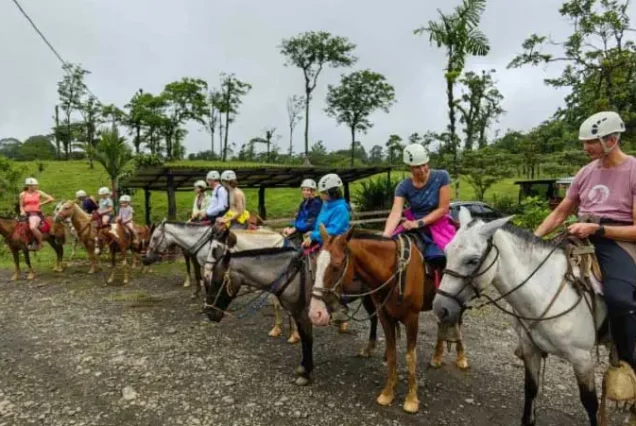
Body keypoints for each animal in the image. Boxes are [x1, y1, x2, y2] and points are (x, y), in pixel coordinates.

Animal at [204, 228, 380, 388]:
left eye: (217, 281)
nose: (209, 313)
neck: (291, 274)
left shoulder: (304, 313)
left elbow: (307, 339)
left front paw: (305, 373)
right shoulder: (296, 312)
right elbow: (302, 335)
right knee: (374, 317)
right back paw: (368, 348)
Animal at [308, 225, 468, 414]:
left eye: (336, 266)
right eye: (315, 263)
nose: (315, 313)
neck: (395, 274)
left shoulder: (412, 319)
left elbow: (410, 357)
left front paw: (411, 399)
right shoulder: (385, 317)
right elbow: (392, 354)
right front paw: (387, 393)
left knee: (458, 323)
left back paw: (461, 357)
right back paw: (437, 357)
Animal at [432, 206, 608, 422]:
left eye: (473, 260)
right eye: (447, 252)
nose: (440, 308)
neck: (546, 290)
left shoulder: (582, 359)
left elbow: (590, 404)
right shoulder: (530, 348)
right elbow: (531, 390)